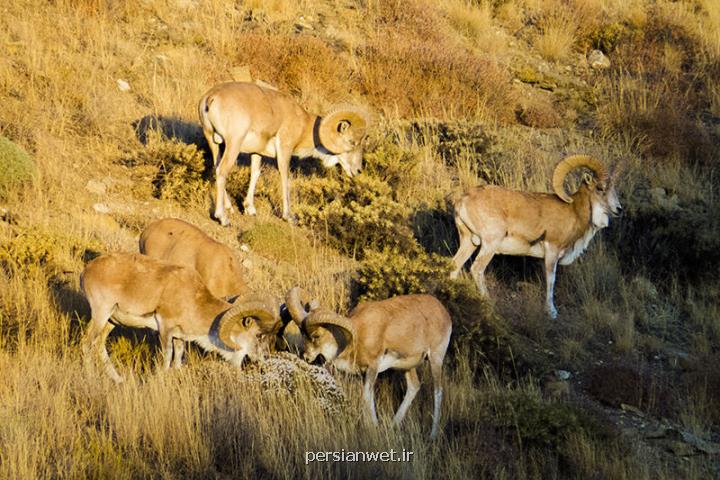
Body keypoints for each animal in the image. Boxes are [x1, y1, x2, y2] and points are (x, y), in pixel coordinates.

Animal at [81, 251, 278, 382]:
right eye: (259, 335)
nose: (261, 360)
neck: (193, 300)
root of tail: (87, 271)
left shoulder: (179, 337)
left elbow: (177, 359)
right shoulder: (165, 330)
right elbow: (167, 358)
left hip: (111, 321)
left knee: (99, 345)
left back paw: (118, 379)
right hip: (101, 314)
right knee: (87, 344)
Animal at [200, 81, 368, 226]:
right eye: (352, 142)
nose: (358, 170)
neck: (303, 125)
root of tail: (211, 97)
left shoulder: (256, 153)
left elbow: (255, 174)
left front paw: (250, 209)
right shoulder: (285, 152)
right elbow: (285, 179)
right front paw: (289, 216)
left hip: (215, 143)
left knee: (217, 168)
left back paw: (229, 208)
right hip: (233, 145)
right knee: (222, 171)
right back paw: (223, 218)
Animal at [286, 286, 450, 440]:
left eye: (316, 335)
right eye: (302, 334)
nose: (306, 357)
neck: (359, 333)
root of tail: (443, 311)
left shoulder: (373, 368)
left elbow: (366, 397)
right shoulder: (365, 374)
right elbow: (369, 398)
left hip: (435, 359)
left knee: (438, 391)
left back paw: (432, 435)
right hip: (408, 368)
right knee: (414, 387)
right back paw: (392, 427)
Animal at [452, 155, 620, 318]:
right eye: (600, 188)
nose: (619, 209)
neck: (573, 212)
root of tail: (462, 200)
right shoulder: (552, 251)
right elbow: (551, 281)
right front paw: (552, 312)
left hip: (469, 242)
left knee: (455, 266)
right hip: (490, 244)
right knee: (477, 269)